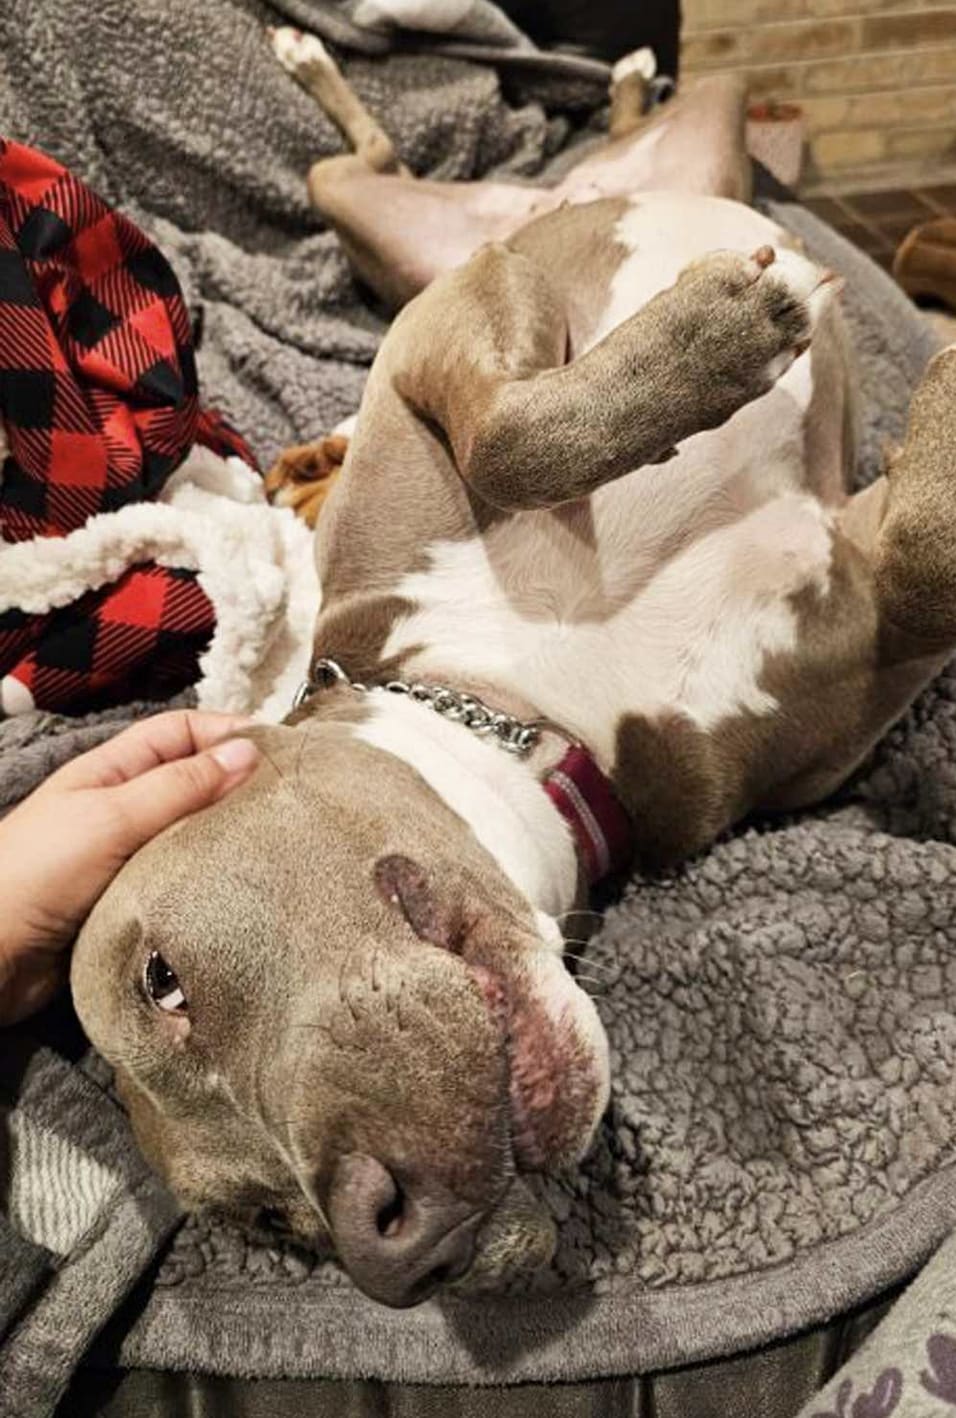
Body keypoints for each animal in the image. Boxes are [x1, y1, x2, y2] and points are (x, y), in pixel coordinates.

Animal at [72, 38, 956, 1310]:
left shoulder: (443, 327)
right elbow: (928, 551)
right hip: (402, 225)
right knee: (388, 156)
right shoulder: (873, 597)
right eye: (275, 1224)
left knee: (423, 160)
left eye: (163, 979)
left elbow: (510, 440)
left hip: (542, 194)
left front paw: (716, 343)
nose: (392, 1249)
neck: (527, 708)